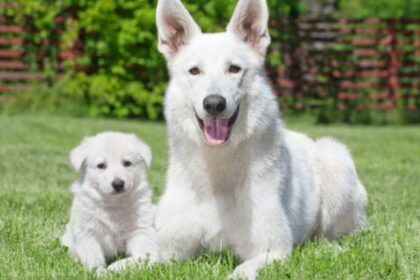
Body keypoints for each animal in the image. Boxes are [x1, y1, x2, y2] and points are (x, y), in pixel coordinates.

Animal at [59, 132, 158, 272]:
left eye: (127, 163)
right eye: (101, 165)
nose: (118, 184)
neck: (114, 204)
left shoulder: (141, 231)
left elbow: (141, 258)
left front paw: (115, 268)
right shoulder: (87, 232)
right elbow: (93, 257)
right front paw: (99, 272)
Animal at [154, 0, 368, 278]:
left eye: (234, 69)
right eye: (194, 71)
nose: (214, 104)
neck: (218, 171)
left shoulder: (272, 250)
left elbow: (239, 272)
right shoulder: (165, 250)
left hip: (334, 159)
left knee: (340, 235)